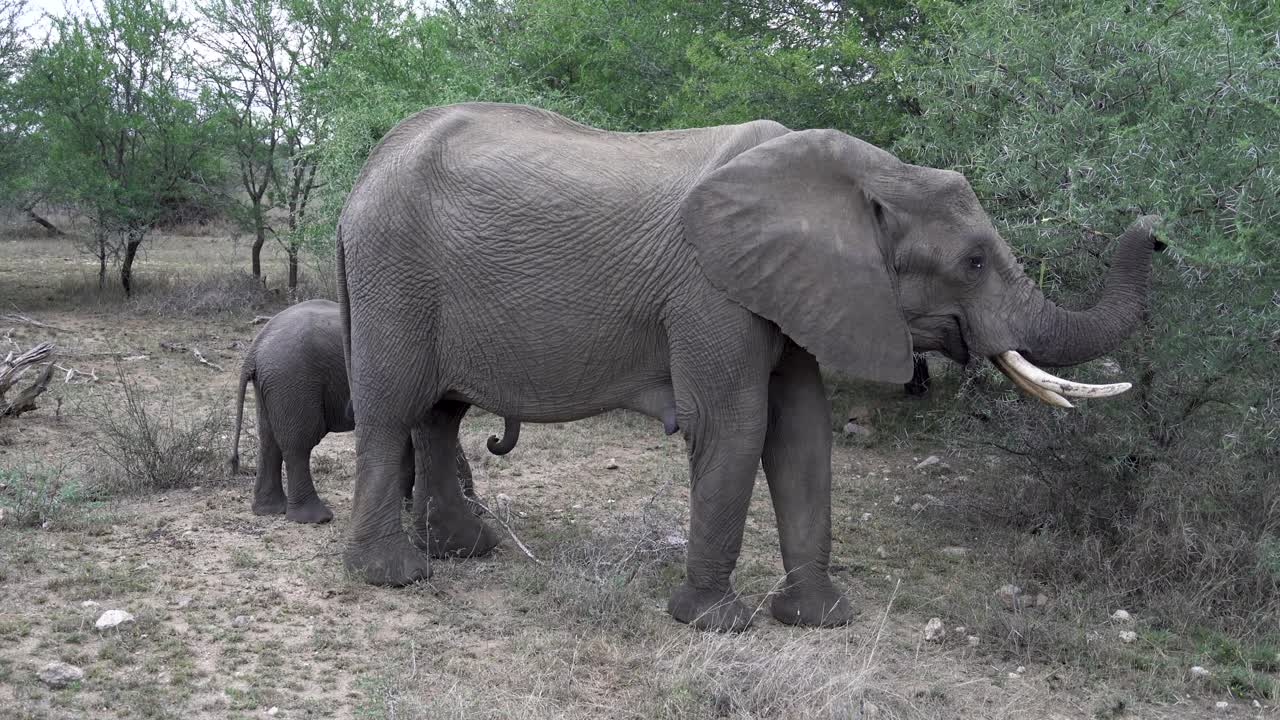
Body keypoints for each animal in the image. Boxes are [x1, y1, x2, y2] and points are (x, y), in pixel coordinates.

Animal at [229, 299, 519, 525]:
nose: (493, 439)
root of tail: (254, 348)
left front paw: (409, 506)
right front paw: (473, 510)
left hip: (273, 383)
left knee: (269, 440)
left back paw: (269, 511)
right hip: (293, 379)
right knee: (299, 444)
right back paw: (317, 518)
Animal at [335, 102, 1159, 631]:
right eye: (975, 260)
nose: (1155, 232)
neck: (868, 174)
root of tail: (363, 178)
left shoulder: (793, 289)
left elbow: (803, 434)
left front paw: (821, 621)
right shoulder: (711, 288)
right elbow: (735, 426)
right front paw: (716, 624)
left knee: (439, 414)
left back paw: (465, 552)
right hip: (394, 274)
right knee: (392, 410)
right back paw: (395, 576)